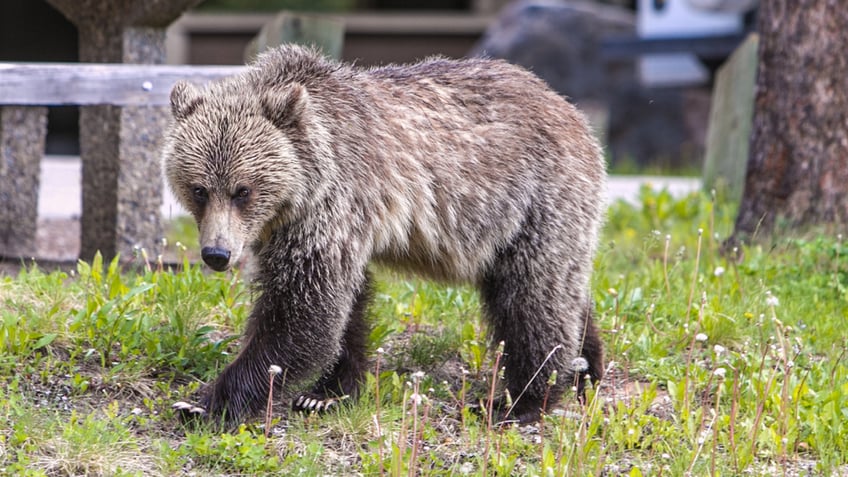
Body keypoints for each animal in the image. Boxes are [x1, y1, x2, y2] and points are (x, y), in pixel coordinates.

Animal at [162, 45, 608, 424]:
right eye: (199, 189)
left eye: (243, 190)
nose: (216, 254)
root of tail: (568, 108)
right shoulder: (308, 229)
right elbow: (345, 305)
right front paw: (326, 392)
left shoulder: (330, 206)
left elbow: (302, 313)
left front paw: (204, 402)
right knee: (561, 290)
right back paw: (587, 369)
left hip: (534, 199)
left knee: (532, 298)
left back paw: (521, 400)